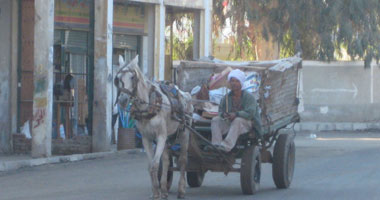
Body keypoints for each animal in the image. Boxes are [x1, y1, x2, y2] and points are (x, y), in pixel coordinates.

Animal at [114, 55, 193, 199]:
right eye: (118, 78)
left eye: (132, 77)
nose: (122, 100)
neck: (148, 106)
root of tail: (186, 94)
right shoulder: (146, 138)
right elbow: (150, 165)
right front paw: (156, 191)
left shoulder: (161, 136)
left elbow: (155, 165)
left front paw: (157, 192)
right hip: (169, 136)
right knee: (166, 160)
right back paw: (164, 189)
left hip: (184, 132)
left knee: (183, 160)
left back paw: (181, 190)